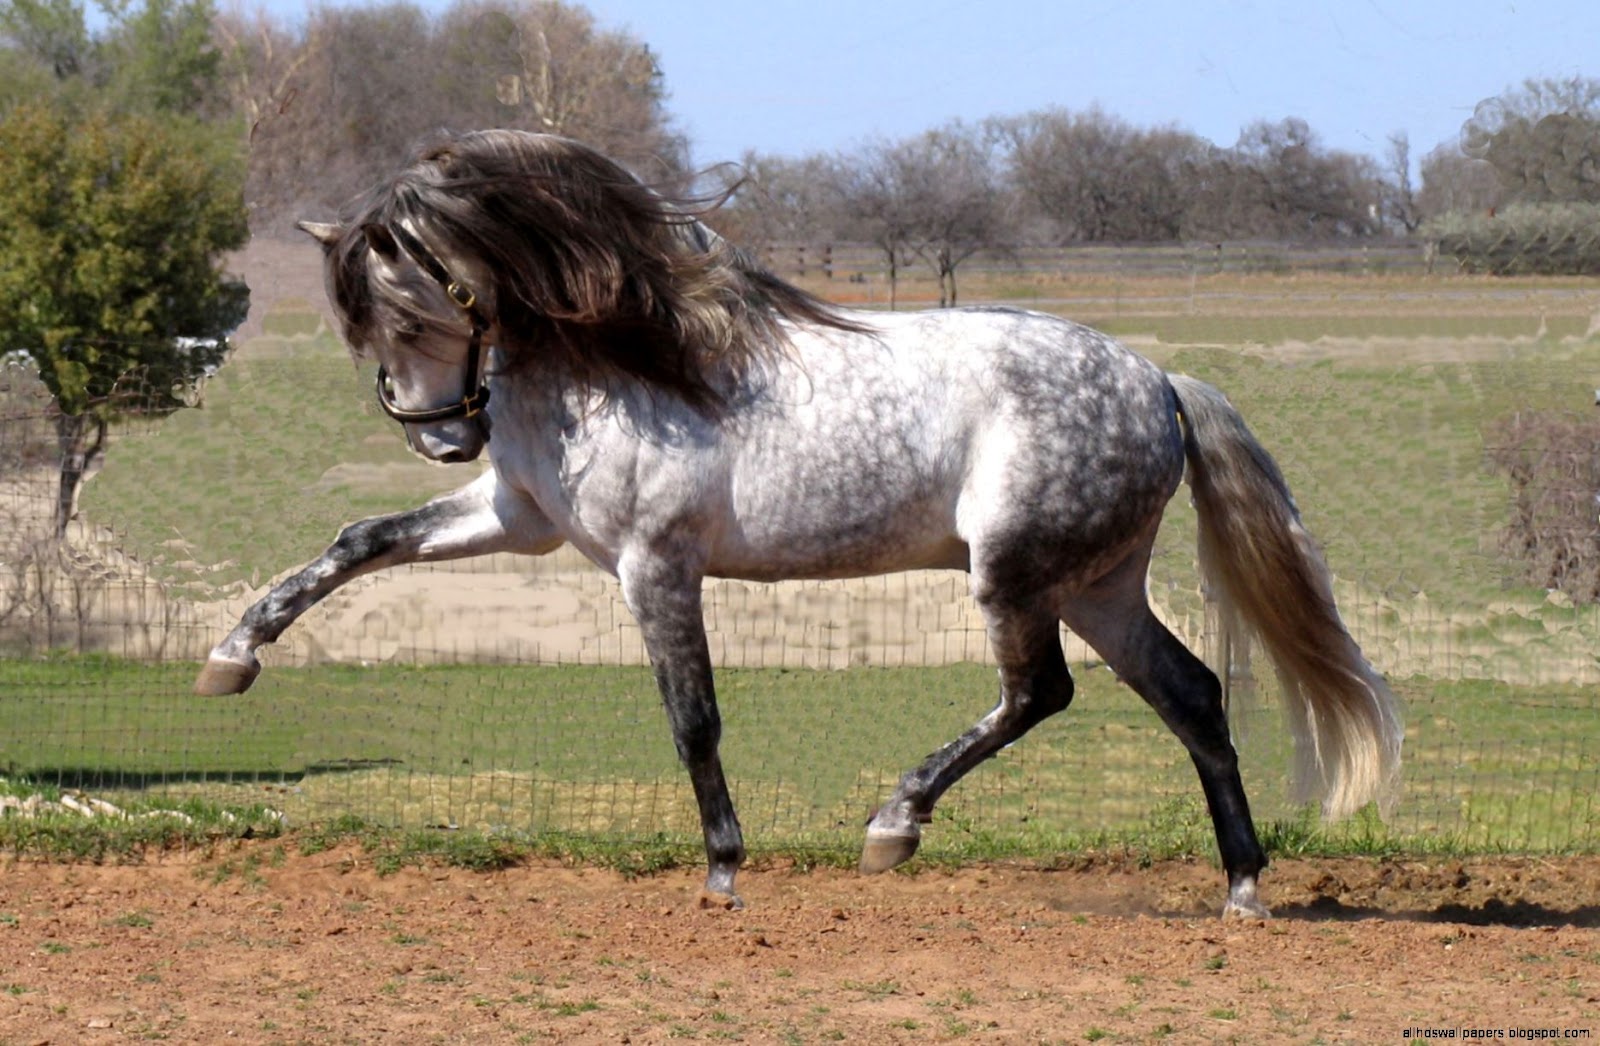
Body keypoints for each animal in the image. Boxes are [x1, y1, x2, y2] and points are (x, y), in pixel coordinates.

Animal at [195, 129, 1402, 918]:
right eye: (362, 326)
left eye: (412, 309)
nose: (442, 438)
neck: (621, 361)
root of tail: (1157, 380)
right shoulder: (517, 516)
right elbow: (359, 541)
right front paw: (232, 658)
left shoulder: (653, 565)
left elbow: (693, 717)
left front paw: (724, 868)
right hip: (1095, 584)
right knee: (1189, 692)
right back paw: (1241, 886)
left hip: (1015, 574)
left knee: (1040, 692)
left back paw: (893, 825)